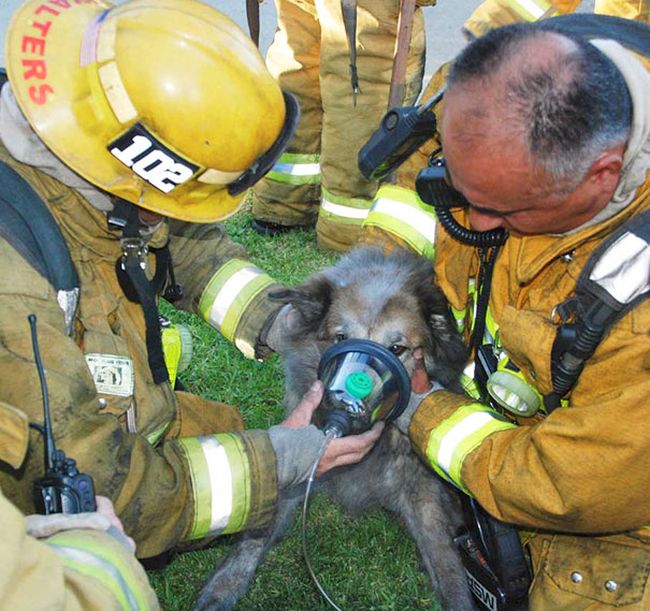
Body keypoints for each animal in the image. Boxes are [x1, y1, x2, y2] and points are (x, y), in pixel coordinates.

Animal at [195, 246, 474, 608]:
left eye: (397, 349)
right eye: (342, 338)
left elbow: (446, 563)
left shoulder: (422, 490)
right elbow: (258, 530)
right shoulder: (296, 473)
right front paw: (224, 586)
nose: (348, 401)